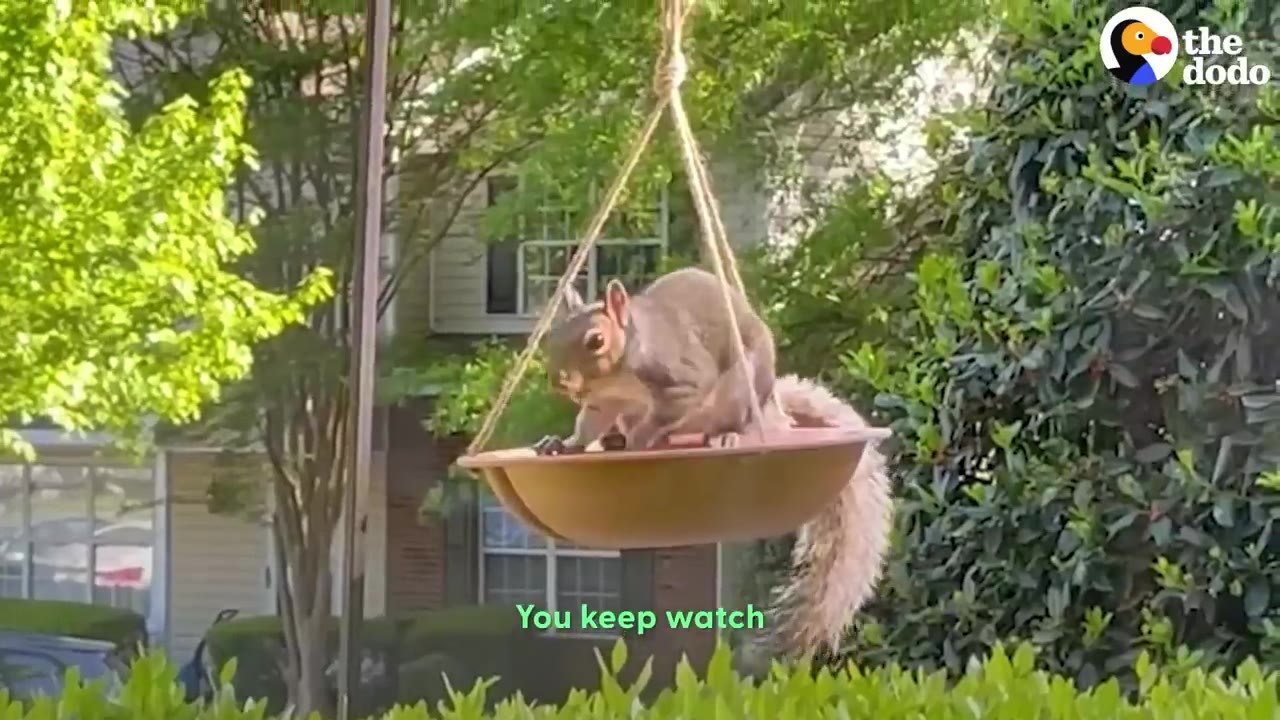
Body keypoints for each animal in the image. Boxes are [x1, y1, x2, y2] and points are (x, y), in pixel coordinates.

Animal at [535, 266, 776, 454]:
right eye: (549, 337)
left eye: (597, 340)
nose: (559, 382)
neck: (615, 380)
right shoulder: (604, 400)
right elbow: (589, 423)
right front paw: (566, 443)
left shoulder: (682, 376)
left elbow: (665, 413)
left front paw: (638, 438)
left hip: (740, 393)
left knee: (731, 421)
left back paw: (725, 435)